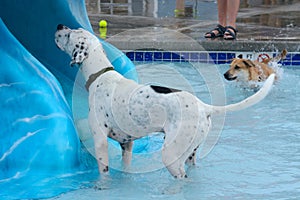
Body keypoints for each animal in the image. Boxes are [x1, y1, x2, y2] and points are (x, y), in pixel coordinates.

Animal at [54, 24, 274, 179]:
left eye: (70, 34)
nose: (59, 25)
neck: (100, 74)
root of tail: (203, 106)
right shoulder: (127, 144)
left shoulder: (100, 141)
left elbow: (103, 173)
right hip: (191, 154)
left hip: (170, 157)